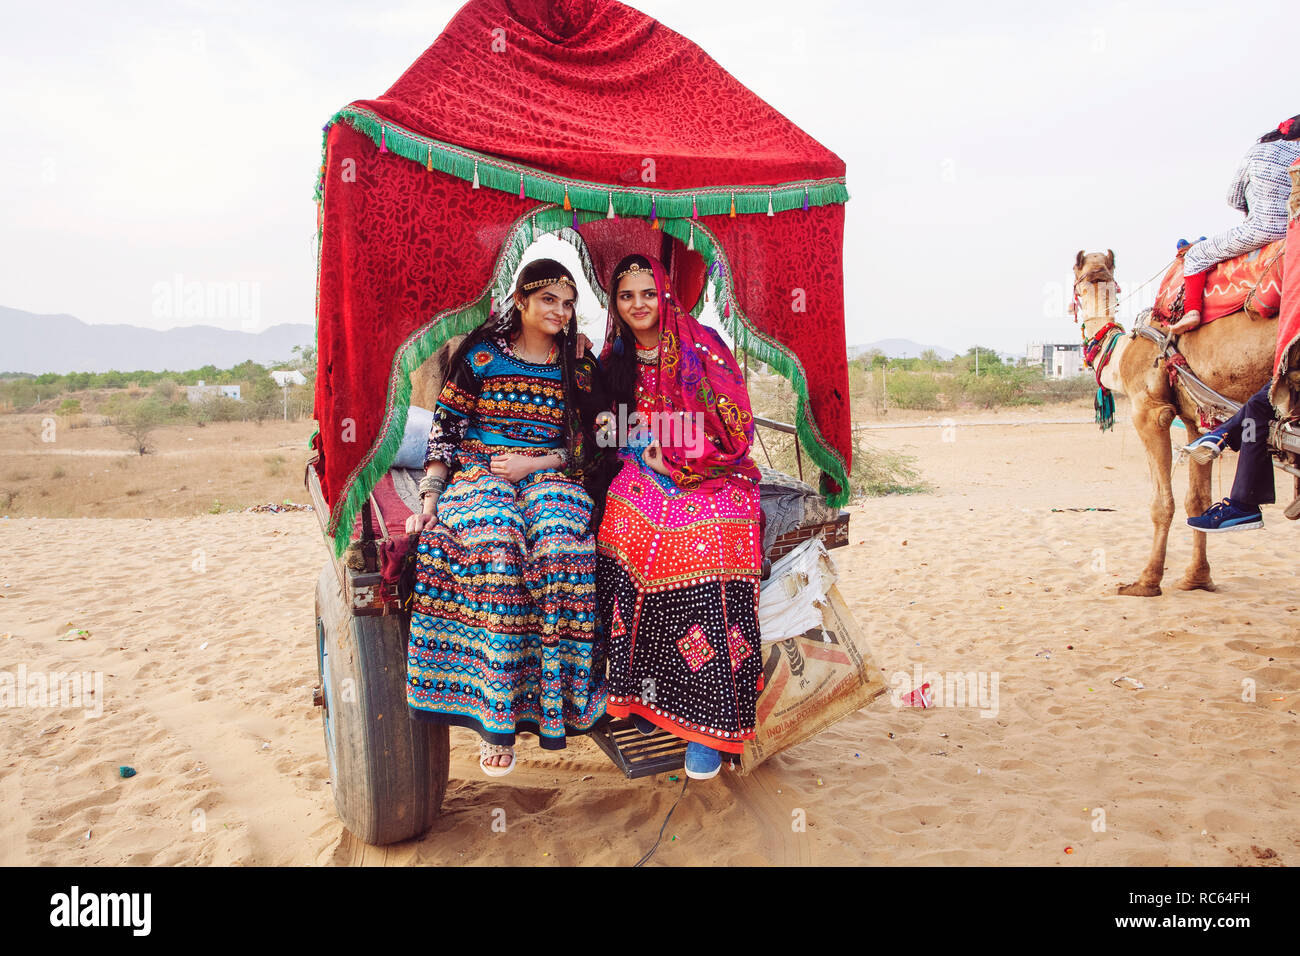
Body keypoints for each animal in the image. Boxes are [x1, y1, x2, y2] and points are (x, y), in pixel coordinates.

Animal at [1071, 248, 1274, 590]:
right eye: (1085, 281)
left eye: (1076, 283)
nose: (1097, 261)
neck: (1124, 353)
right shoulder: (1197, 419)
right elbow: (1198, 498)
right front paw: (1197, 577)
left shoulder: (1150, 411)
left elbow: (1162, 503)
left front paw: (1147, 581)